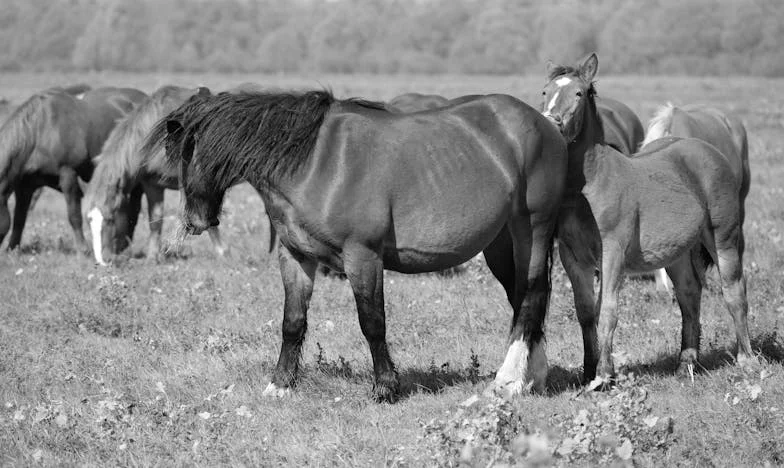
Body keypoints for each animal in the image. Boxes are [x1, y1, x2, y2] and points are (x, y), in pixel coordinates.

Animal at [0, 85, 146, 250]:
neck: (40, 131)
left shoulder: (68, 175)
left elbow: (74, 216)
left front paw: (83, 249)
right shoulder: (25, 186)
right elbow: (19, 217)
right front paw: (12, 248)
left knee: (134, 209)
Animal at [144, 88, 568, 402]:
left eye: (189, 153)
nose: (197, 220)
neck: (314, 163)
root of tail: (544, 123)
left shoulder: (362, 256)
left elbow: (372, 322)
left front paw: (385, 388)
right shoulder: (295, 256)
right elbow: (292, 322)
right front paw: (280, 385)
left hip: (532, 228)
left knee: (532, 294)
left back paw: (508, 381)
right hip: (500, 242)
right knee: (521, 299)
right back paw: (532, 376)